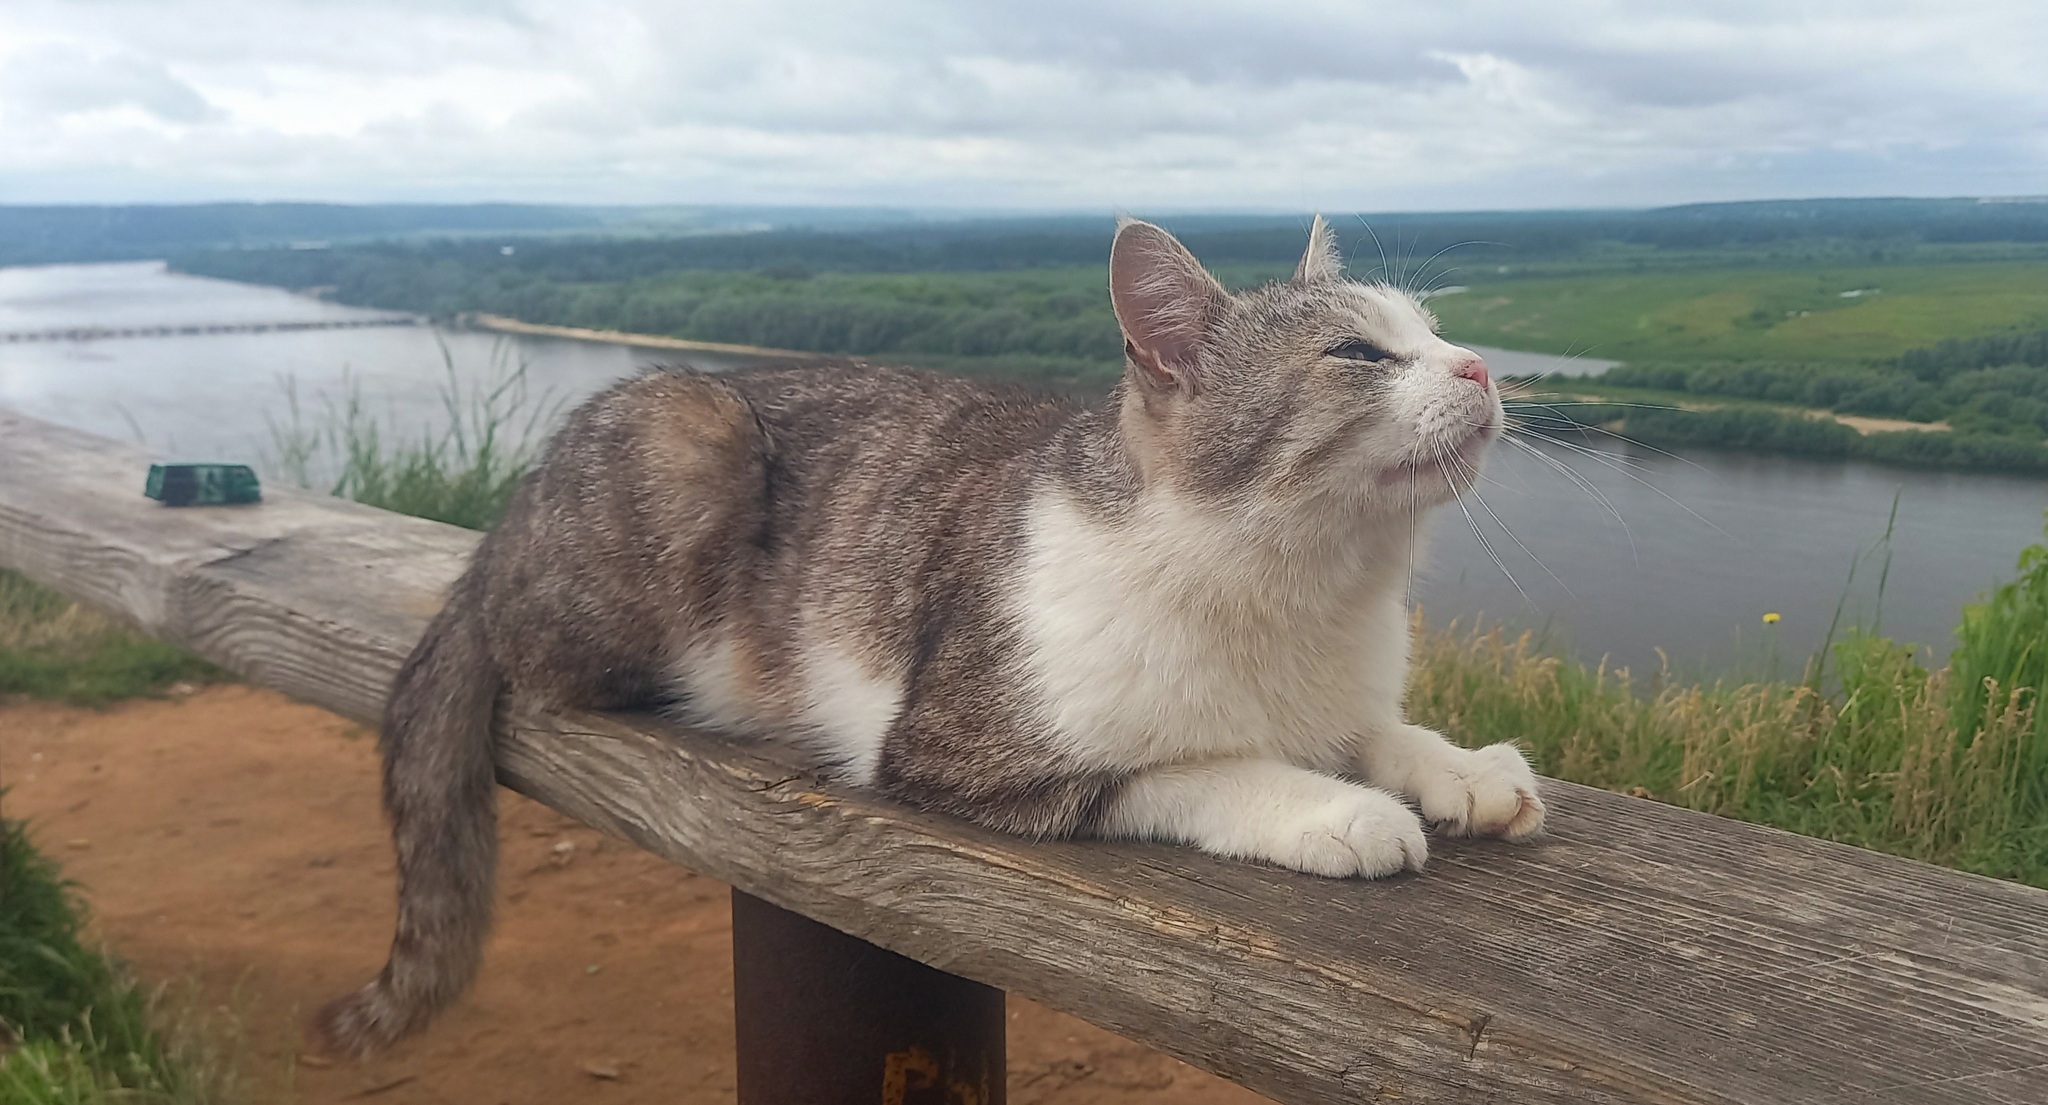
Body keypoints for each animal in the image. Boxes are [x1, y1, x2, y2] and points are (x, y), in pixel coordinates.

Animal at [315, 213, 1540, 1055]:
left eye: (1435, 331)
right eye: (1358, 356)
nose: (1483, 364)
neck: (1306, 590)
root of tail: (503, 528)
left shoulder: (1338, 683)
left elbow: (1372, 726)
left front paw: (1461, 767)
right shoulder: (963, 751)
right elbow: (1200, 765)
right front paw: (1333, 807)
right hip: (681, 435)